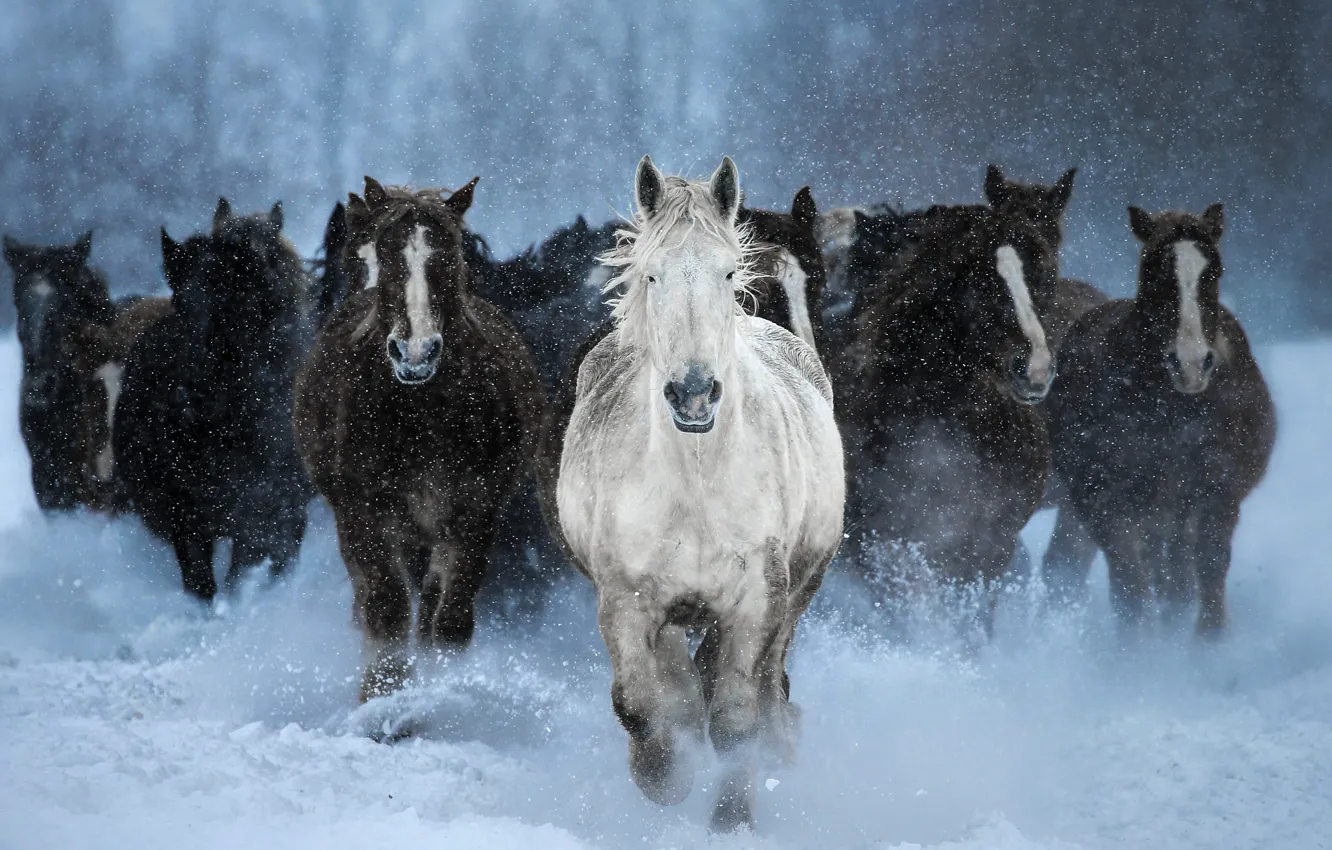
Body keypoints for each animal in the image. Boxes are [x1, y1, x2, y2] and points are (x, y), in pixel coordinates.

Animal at [114, 199, 315, 601]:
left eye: (234, 300)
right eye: (180, 302)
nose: (185, 398)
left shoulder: (266, 512)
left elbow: (244, 572)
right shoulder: (187, 515)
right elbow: (201, 583)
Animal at [292, 177, 543, 702]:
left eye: (448, 259)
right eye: (387, 258)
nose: (415, 353)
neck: (421, 415)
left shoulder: (472, 515)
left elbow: (448, 619)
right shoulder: (364, 516)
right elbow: (385, 610)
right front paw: (382, 702)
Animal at [557, 156, 844, 831]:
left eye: (729, 271)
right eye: (651, 273)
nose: (693, 393)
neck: (697, 485)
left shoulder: (756, 600)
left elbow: (736, 719)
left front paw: (731, 819)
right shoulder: (627, 599)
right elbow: (639, 703)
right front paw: (665, 778)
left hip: (800, 588)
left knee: (765, 683)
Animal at [1044, 205, 1275, 635]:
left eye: (1214, 271)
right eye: (1153, 270)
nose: (1190, 364)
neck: (1174, 411)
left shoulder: (1218, 493)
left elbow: (1210, 567)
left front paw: (1208, 642)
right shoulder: (1112, 502)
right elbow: (1131, 589)